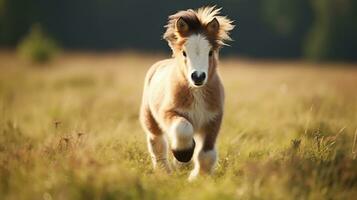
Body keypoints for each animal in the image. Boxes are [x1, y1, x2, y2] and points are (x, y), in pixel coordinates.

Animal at [139, 6, 234, 180]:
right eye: (184, 52)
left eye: (210, 52)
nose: (198, 76)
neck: (196, 92)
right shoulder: (168, 112)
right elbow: (182, 128)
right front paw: (183, 154)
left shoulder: (213, 119)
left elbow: (206, 153)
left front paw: (198, 178)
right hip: (149, 117)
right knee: (157, 143)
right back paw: (164, 171)